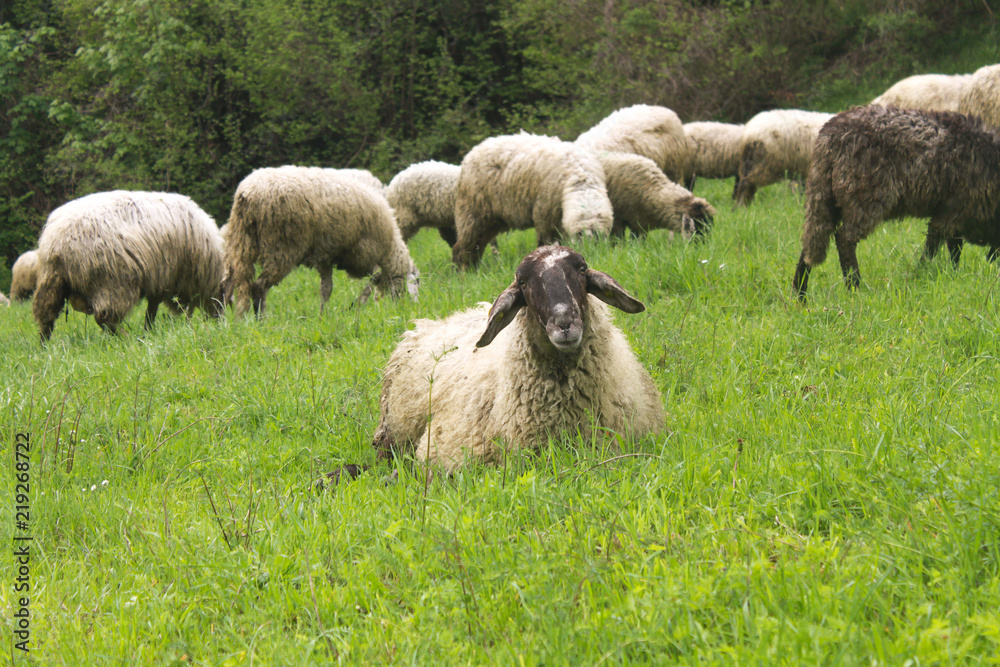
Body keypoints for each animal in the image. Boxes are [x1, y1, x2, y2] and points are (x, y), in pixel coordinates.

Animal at [32, 190, 226, 341]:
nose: (221, 324)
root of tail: (58, 240)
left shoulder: (159, 277)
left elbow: (152, 308)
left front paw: (149, 329)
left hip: (51, 280)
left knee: (46, 317)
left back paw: (44, 347)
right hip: (113, 281)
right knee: (104, 318)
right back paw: (127, 339)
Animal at [223, 165, 419, 317]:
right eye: (416, 282)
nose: (408, 308)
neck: (390, 249)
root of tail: (248, 192)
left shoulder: (326, 258)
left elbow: (326, 289)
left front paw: (322, 316)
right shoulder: (363, 253)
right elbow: (373, 278)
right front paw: (357, 304)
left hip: (241, 240)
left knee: (228, 285)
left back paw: (227, 323)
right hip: (281, 247)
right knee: (259, 286)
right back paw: (261, 320)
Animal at [451, 133, 613, 269]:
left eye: (598, 236)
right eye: (580, 234)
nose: (589, 250)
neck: (580, 179)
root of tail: (474, 149)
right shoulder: (545, 214)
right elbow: (546, 242)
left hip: (491, 220)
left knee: (477, 246)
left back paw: (475, 269)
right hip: (472, 211)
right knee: (462, 248)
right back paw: (465, 273)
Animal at [792, 104, 1000, 301]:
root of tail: (830, 135)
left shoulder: (956, 215)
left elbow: (953, 249)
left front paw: (952, 276)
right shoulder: (954, 211)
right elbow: (934, 249)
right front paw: (921, 277)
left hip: (825, 196)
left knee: (811, 245)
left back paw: (800, 296)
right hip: (865, 198)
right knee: (844, 238)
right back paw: (854, 288)